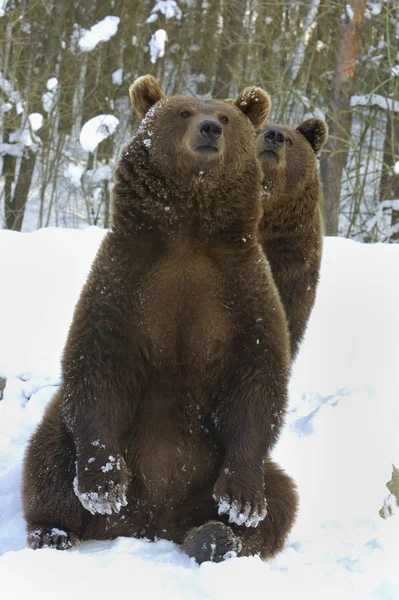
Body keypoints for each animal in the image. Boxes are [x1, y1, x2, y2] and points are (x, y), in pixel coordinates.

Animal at [21, 75, 296, 564]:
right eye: (183, 112)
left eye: (226, 117)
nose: (209, 128)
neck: (188, 227)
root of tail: (150, 524)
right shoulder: (126, 279)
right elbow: (97, 364)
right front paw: (103, 486)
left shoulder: (242, 289)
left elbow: (257, 378)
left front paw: (241, 502)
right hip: (81, 444)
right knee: (49, 456)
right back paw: (54, 532)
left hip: (205, 473)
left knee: (282, 495)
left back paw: (217, 536)